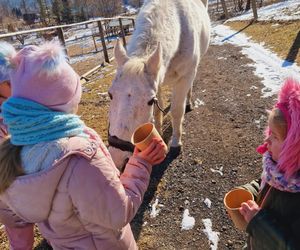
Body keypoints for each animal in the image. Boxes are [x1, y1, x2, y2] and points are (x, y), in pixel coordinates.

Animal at [108, 0, 211, 169]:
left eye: (149, 101)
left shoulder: (184, 77)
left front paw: (176, 144)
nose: (117, 158)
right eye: (110, 94)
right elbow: (157, 111)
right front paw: (158, 133)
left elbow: (176, 111)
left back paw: (189, 102)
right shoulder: (158, 82)